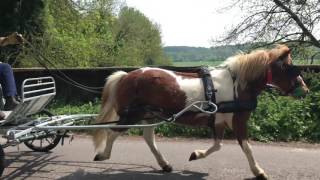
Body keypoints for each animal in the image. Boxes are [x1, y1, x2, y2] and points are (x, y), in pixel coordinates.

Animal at [91, 44, 308, 179]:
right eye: (290, 67)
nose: (305, 90)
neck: (237, 84)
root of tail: (126, 76)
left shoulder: (219, 121)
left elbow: (218, 145)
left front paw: (196, 154)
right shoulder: (238, 121)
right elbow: (247, 147)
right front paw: (258, 171)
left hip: (149, 115)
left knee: (148, 137)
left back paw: (164, 164)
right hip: (131, 114)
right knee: (113, 132)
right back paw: (103, 155)